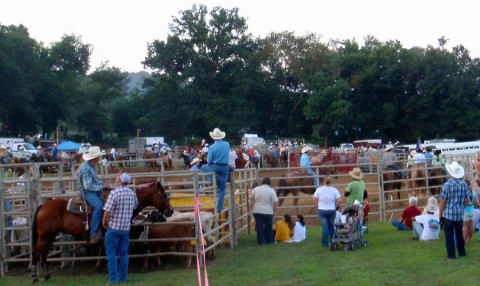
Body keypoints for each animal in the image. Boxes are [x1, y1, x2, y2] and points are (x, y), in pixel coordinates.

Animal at [30, 181, 172, 282]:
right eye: (164, 195)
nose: (170, 211)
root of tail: (43, 205)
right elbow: (109, 252)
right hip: (45, 236)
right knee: (37, 252)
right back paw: (35, 276)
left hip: (50, 236)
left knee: (44, 253)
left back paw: (46, 275)